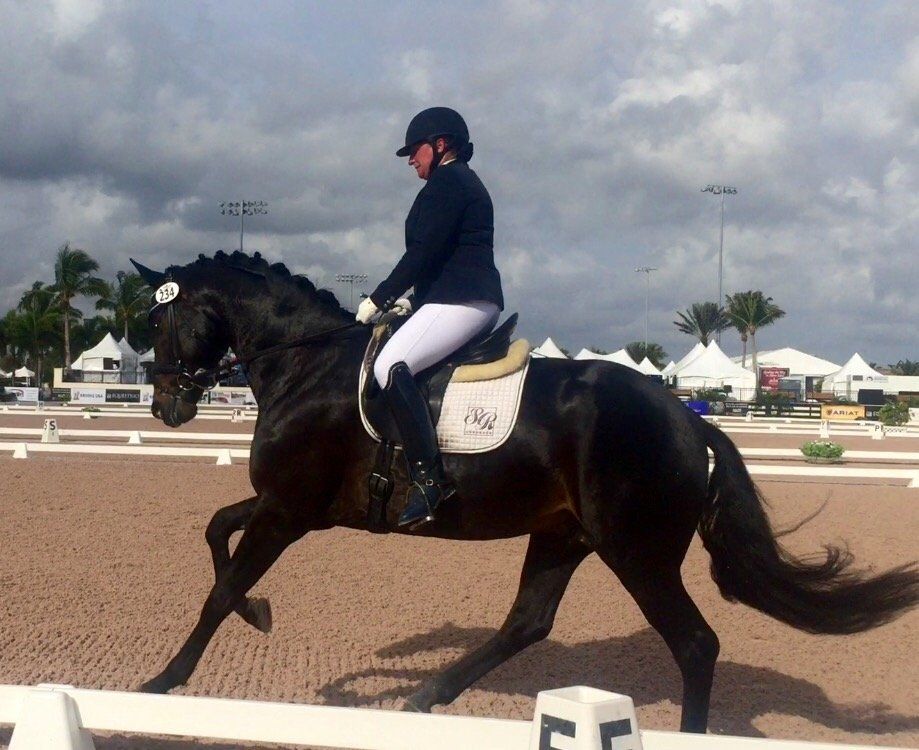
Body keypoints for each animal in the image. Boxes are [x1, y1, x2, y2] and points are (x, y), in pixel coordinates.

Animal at [131, 250, 917, 733]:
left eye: (159, 319)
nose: (166, 406)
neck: (307, 364)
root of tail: (688, 421)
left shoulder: (290, 510)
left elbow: (220, 587)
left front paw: (165, 680)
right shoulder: (294, 507)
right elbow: (215, 531)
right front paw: (259, 615)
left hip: (636, 552)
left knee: (694, 645)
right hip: (564, 534)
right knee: (527, 623)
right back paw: (426, 696)